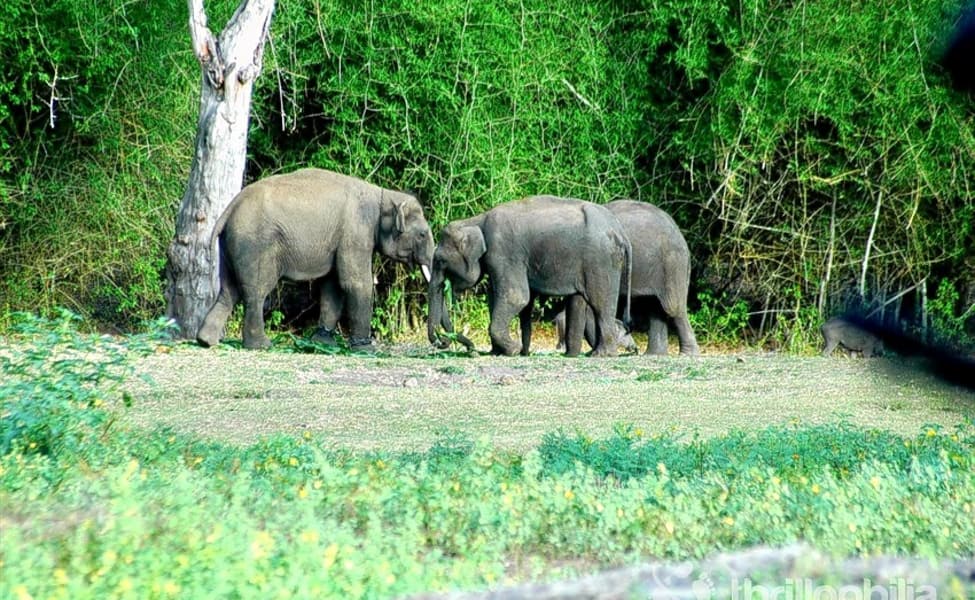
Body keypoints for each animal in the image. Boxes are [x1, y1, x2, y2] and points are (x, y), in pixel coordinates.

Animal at [198, 166, 434, 350]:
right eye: (423, 234)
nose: (438, 343)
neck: (384, 195)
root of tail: (229, 209)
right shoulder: (355, 233)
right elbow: (355, 283)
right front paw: (365, 349)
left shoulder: (341, 240)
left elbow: (333, 286)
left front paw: (322, 343)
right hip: (254, 245)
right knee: (256, 291)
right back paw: (261, 345)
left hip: (230, 246)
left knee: (229, 290)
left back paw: (206, 341)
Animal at [428, 196, 632, 356]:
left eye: (440, 261)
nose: (471, 350)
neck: (476, 220)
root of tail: (620, 231)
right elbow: (498, 298)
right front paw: (501, 352)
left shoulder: (503, 252)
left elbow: (516, 297)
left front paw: (513, 350)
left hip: (601, 261)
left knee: (601, 304)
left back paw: (601, 354)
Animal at [564, 202, 700, 354]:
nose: (633, 349)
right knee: (654, 305)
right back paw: (653, 354)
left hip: (672, 264)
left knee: (672, 307)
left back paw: (687, 354)